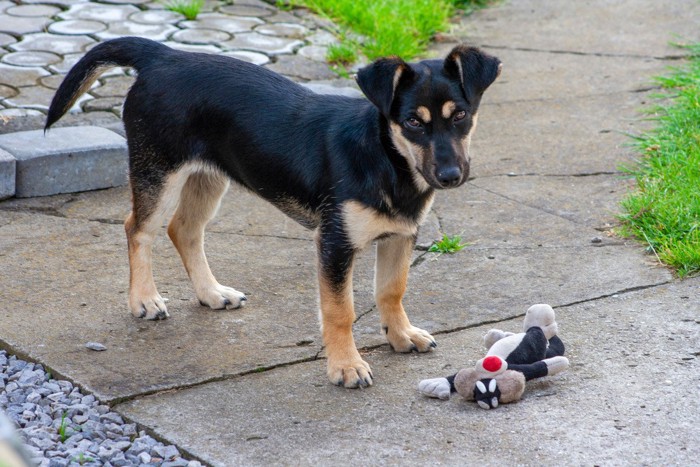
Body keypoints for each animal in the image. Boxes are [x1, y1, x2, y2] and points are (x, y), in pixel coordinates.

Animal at [46, 35, 500, 388]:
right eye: (412, 122)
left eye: (461, 115)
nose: (450, 176)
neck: (386, 159)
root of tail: (163, 55)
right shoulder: (334, 243)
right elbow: (340, 310)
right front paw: (346, 366)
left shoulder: (400, 235)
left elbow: (392, 289)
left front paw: (401, 334)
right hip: (159, 172)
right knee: (138, 229)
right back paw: (144, 299)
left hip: (209, 177)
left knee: (184, 230)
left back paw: (212, 294)